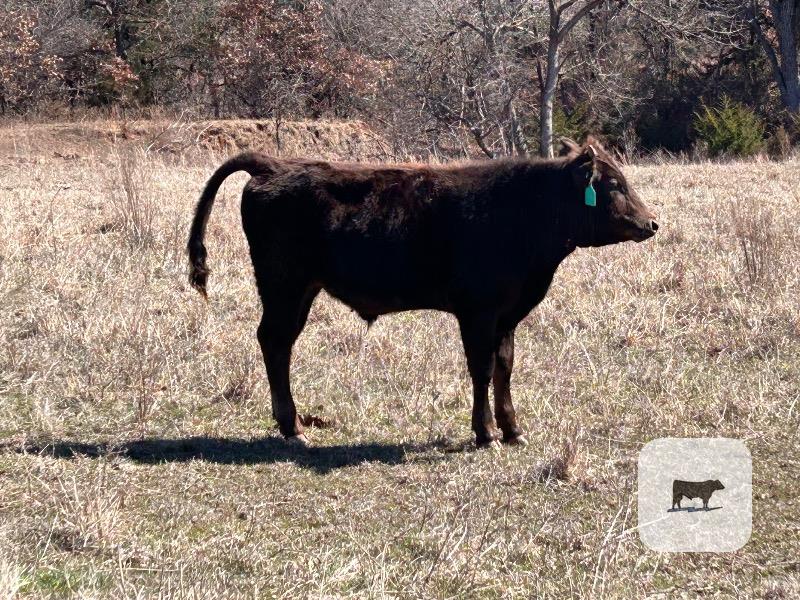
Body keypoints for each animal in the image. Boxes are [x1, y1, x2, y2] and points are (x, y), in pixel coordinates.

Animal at [187, 136, 658, 448]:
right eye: (613, 184)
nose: (652, 223)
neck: (522, 211)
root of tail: (273, 165)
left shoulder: (507, 315)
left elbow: (504, 367)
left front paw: (513, 429)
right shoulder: (478, 313)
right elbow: (482, 368)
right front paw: (485, 433)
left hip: (301, 290)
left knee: (278, 342)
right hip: (284, 287)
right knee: (274, 341)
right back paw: (293, 427)